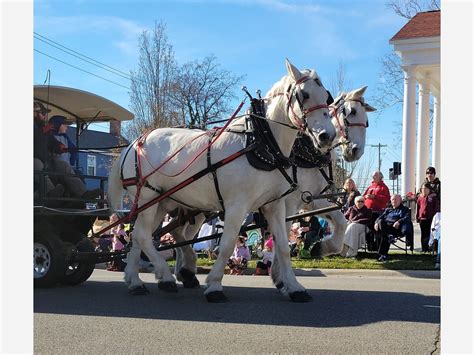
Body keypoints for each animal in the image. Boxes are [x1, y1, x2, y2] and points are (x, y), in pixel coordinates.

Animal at [109, 59, 336, 304]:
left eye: (327, 96)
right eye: (304, 95)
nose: (327, 136)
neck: (261, 141)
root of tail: (134, 143)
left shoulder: (274, 204)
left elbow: (283, 247)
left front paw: (294, 287)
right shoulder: (237, 205)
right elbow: (227, 246)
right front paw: (215, 286)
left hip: (160, 202)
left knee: (138, 236)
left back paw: (135, 281)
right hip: (146, 197)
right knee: (142, 235)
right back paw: (165, 277)